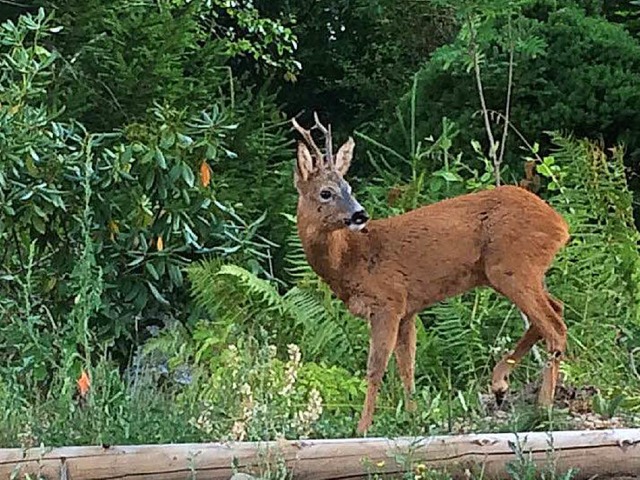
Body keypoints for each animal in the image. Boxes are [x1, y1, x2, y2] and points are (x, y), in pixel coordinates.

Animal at [292, 113, 568, 436]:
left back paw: (542, 408)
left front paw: (362, 428)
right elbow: (407, 365)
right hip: (520, 271)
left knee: (554, 326)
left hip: (511, 267)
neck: (350, 260)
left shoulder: (388, 300)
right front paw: (414, 419)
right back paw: (501, 385)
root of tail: (560, 225)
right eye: (326, 192)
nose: (360, 215)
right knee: (555, 310)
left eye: (349, 188)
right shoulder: (407, 309)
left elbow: (375, 367)